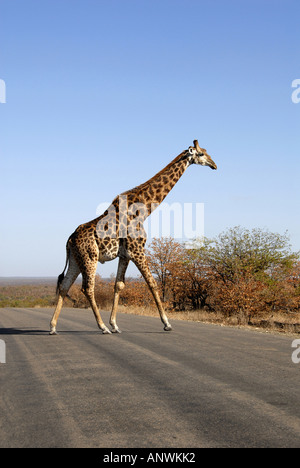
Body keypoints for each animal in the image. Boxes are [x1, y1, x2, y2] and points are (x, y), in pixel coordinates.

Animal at [50, 141, 217, 334]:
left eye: (206, 152)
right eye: (201, 154)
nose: (214, 165)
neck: (144, 209)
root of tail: (70, 240)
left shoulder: (125, 254)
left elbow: (119, 285)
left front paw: (115, 324)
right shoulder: (137, 249)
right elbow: (152, 283)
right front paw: (166, 323)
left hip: (76, 259)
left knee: (64, 285)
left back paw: (53, 326)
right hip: (89, 257)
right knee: (87, 288)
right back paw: (101, 327)